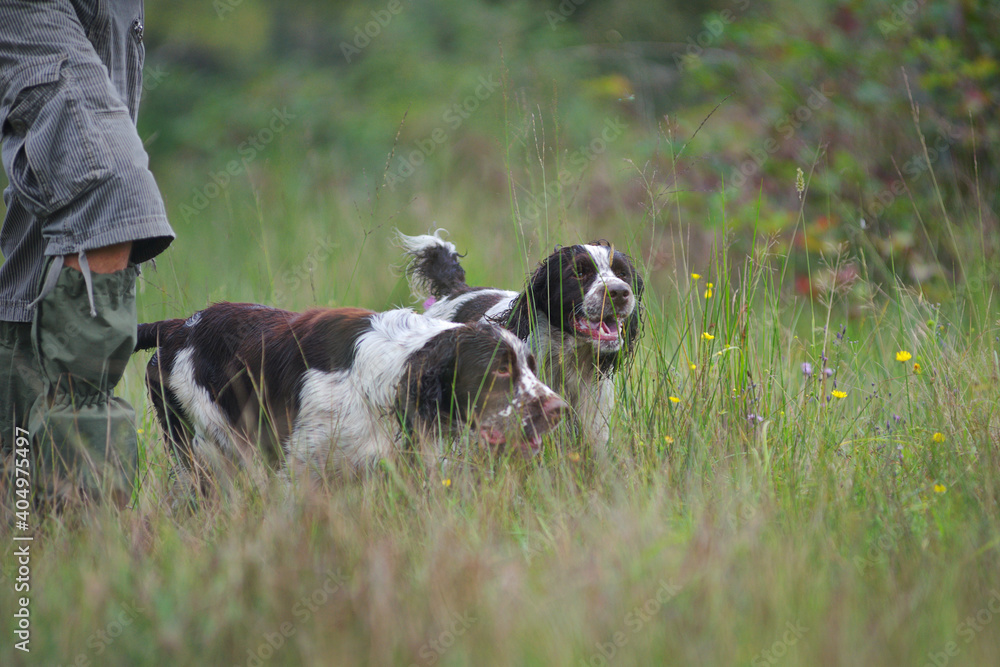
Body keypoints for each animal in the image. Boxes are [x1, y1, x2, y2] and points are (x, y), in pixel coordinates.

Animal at [136, 302, 568, 490]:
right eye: (499, 369)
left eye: (530, 365)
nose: (557, 409)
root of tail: (177, 327)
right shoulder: (299, 472)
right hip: (211, 451)